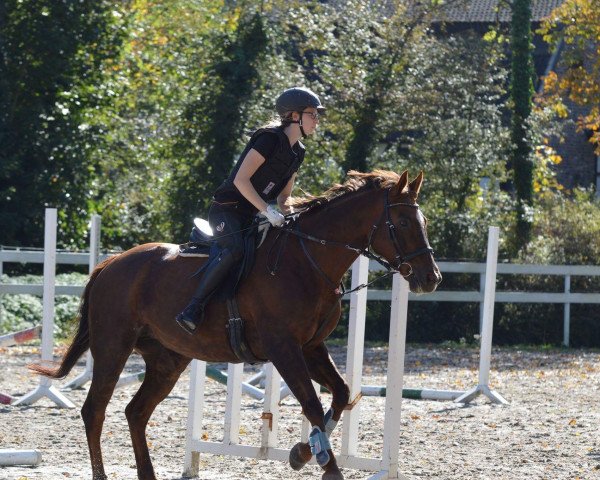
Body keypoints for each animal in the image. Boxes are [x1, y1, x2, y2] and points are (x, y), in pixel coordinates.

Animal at [31, 170, 440, 480]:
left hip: (168, 360)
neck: (307, 260)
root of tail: (109, 265)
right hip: (113, 347)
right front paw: (327, 466)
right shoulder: (284, 348)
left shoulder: (310, 347)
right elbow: (310, 401)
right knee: (95, 410)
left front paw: (302, 452)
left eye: (423, 221)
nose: (431, 278)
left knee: (136, 412)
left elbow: (340, 394)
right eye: (403, 221)